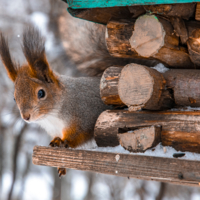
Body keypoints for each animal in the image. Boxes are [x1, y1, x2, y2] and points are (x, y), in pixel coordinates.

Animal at [0, 26, 109, 177]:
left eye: (41, 93)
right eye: (14, 98)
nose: (26, 117)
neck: (52, 117)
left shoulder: (85, 115)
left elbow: (81, 134)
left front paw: (65, 142)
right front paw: (60, 160)